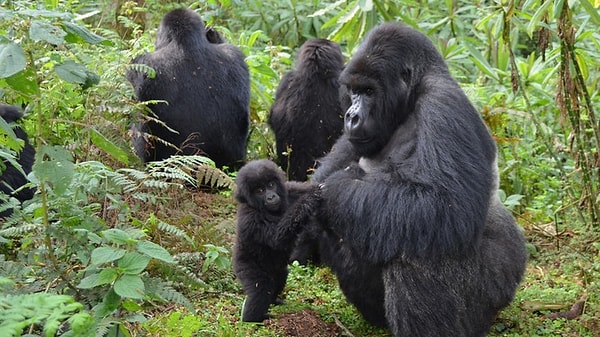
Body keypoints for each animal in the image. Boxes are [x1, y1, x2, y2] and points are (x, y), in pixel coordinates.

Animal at [232, 159, 322, 322]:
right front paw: (309, 199)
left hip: (277, 270)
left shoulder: (290, 190)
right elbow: (277, 238)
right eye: (259, 190)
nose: (271, 197)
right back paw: (252, 320)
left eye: (270, 185)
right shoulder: (251, 218)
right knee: (260, 288)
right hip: (244, 266)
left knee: (280, 277)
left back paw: (274, 300)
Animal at [302, 22, 528, 334]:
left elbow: (445, 206)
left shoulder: (442, 105)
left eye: (369, 91)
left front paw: (335, 190)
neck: (409, 101)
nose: (351, 116)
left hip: (500, 284)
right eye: (354, 91)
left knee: (420, 244)